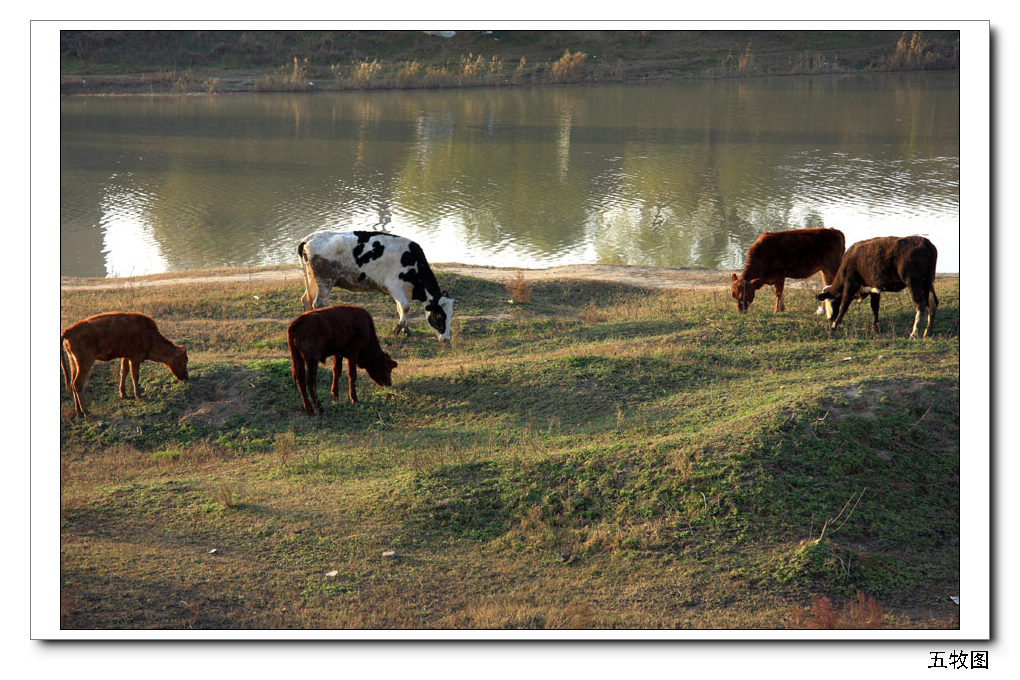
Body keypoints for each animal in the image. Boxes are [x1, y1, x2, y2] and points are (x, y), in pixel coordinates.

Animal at [62, 311, 191, 417]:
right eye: (185, 360)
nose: (186, 377)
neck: (149, 335)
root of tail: (69, 331)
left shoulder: (126, 356)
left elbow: (123, 372)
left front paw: (123, 394)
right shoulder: (135, 358)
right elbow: (135, 375)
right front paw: (139, 396)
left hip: (73, 363)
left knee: (72, 383)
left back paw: (79, 412)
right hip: (85, 363)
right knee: (77, 383)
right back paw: (86, 412)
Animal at [295, 232, 454, 340]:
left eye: (451, 314)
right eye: (439, 315)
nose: (446, 339)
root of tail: (308, 239)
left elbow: (400, 308)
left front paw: (406, 330)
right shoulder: (394, 285)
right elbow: (405, 306)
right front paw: (398, 329)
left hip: (312, 279)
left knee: (306, 299)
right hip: (325, 280)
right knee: (318, 303)